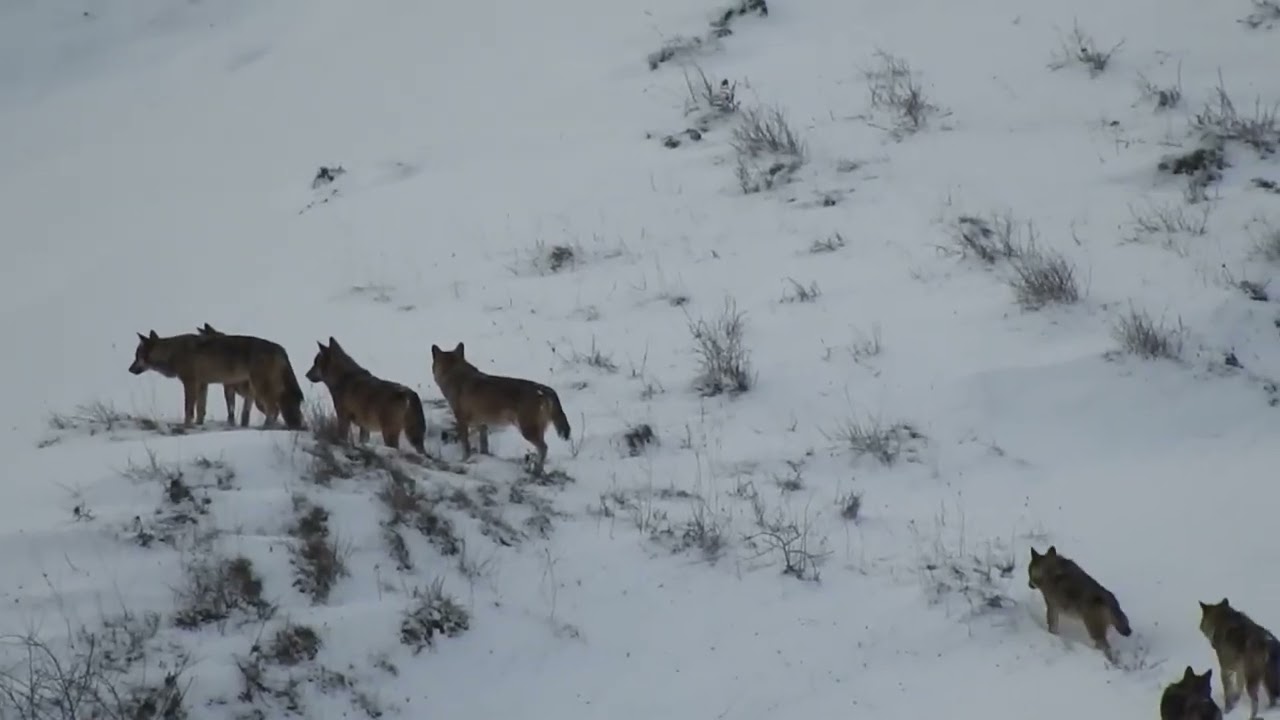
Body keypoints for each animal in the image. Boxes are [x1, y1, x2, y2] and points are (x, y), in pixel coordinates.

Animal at [128, 329, 305, 429]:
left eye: (136, 356)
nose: (129, 369)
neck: (173, 352)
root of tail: (280, 348)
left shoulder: (190, 383)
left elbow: (188, 409)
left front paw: (186, 425)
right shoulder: (202, 384)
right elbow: (200, 409)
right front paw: (198, 425)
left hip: (260, 390)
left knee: (274, 409)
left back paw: (265, 427)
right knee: (278, 409)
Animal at [430, 341, 571, 475]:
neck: (454, 373)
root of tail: (544, 389)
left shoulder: (462, 421)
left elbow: (466, 446)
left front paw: (464, 461)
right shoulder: (482, 424)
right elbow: (484, 446)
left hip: (527, 431)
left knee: (544, 448)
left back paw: (537, 472)